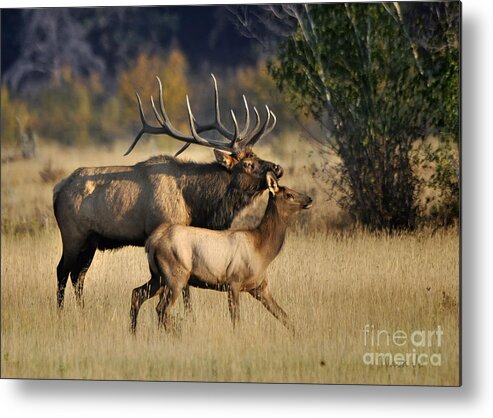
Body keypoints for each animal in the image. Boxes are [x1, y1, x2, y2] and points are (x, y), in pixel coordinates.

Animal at [52, 75, 282, 310]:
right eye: (247, 164)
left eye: (256, 155)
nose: (277, 168)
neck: (195, 204)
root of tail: (58, 190)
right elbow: (182, 288)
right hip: (73, 234)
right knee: (62, 270)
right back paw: (61, 311)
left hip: (91, 240)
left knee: (78, 275)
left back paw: (81, 310)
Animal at [131, 172, 312, 334]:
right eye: (289, 194)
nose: (309, 199)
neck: (262, 250)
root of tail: (151, 242)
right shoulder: (234, 281)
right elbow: (236, 319)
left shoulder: (260, 287)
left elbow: (284, 316)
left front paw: (300, 336)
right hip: (175, 275)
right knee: (162, 308)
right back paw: (175, 334)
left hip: (158, 277)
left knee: (137, 294)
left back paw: (133, 333)